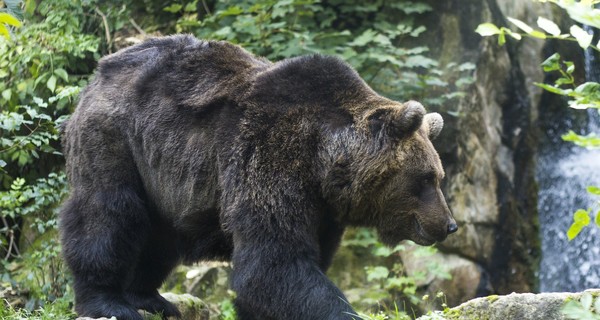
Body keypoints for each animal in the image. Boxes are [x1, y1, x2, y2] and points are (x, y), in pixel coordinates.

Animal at [59, 35, 454, 320]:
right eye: (425, 179)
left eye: (438, 176)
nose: (449, 225)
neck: (323, 162)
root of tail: (101, 70)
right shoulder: (269, 159)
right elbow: (272, 262)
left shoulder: (322, 212)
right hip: (117, 139)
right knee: (108, 213)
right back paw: (109, 302)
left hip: (163, 176)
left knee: (160, 235)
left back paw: (152, 299)